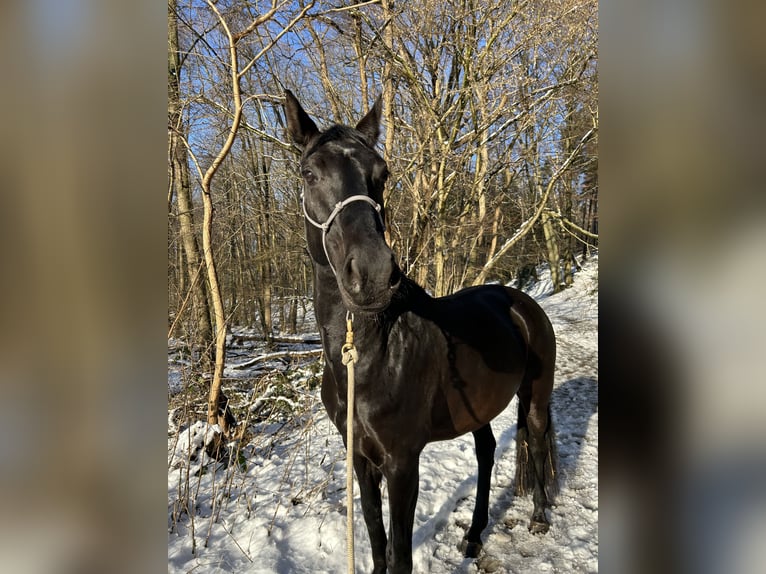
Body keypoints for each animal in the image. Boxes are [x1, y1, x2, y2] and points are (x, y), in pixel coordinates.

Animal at [284, 92, 560, 572]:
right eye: (309, 172)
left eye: (382, 173)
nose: (373, 275)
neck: (371, 355)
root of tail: (522, 302)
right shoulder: (361, 458)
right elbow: (376, 539)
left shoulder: (402, 463)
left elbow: (400, 555)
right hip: (479, 410)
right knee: (487, 452)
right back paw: (473, 534)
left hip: (536, 395)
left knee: (538, 440)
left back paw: (539, 517)